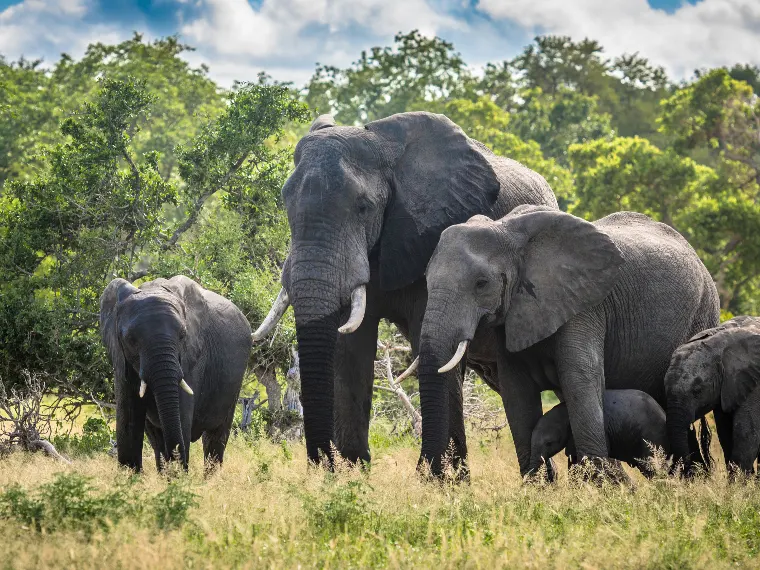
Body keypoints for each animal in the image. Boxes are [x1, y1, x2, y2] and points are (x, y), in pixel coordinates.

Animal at [100, 275, 252, 471]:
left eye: (182, 335)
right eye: (130, 340)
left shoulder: (192, 357)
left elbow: (181, 417)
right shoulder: (121, 360)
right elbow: (128, 421)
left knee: (215, 438)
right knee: (157, 441)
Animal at [252, 111, 558, 471]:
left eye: (363, 207)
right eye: (285, 202)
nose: (322, 465)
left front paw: (439, 478)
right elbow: (351, 346)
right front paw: (352, 473)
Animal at [665, 316, 760, 477]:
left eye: (697, 391)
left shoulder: (755, 385)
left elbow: (746, 434)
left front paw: (738, 482)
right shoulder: (727, 389)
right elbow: (725, 434)